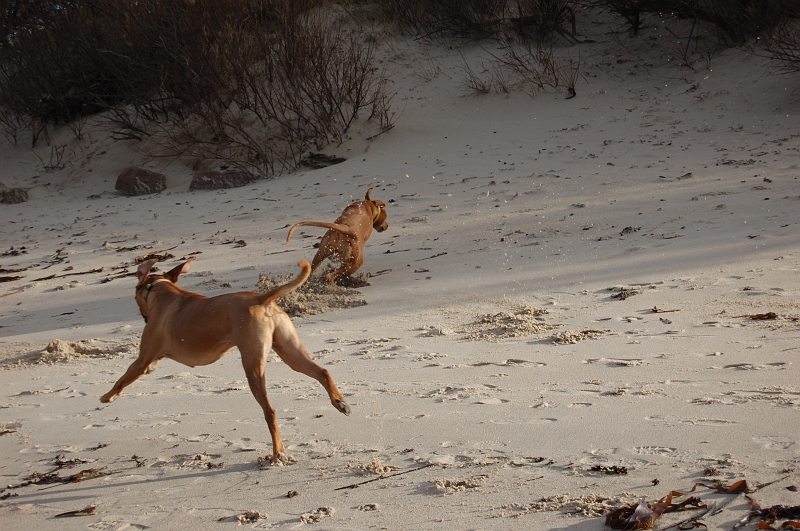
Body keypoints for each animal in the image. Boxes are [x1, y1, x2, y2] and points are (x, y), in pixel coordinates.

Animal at [101, 260, 350, 464]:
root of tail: (262, 299)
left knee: (269, 410)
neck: (164, 292)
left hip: (252, 364)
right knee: (322, 371)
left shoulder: (142, 359)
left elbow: (123, 378)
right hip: (290, 351)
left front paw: (108, 396)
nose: (143, 315)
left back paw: (278, 452)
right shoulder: (152, 359)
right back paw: (340, 402)